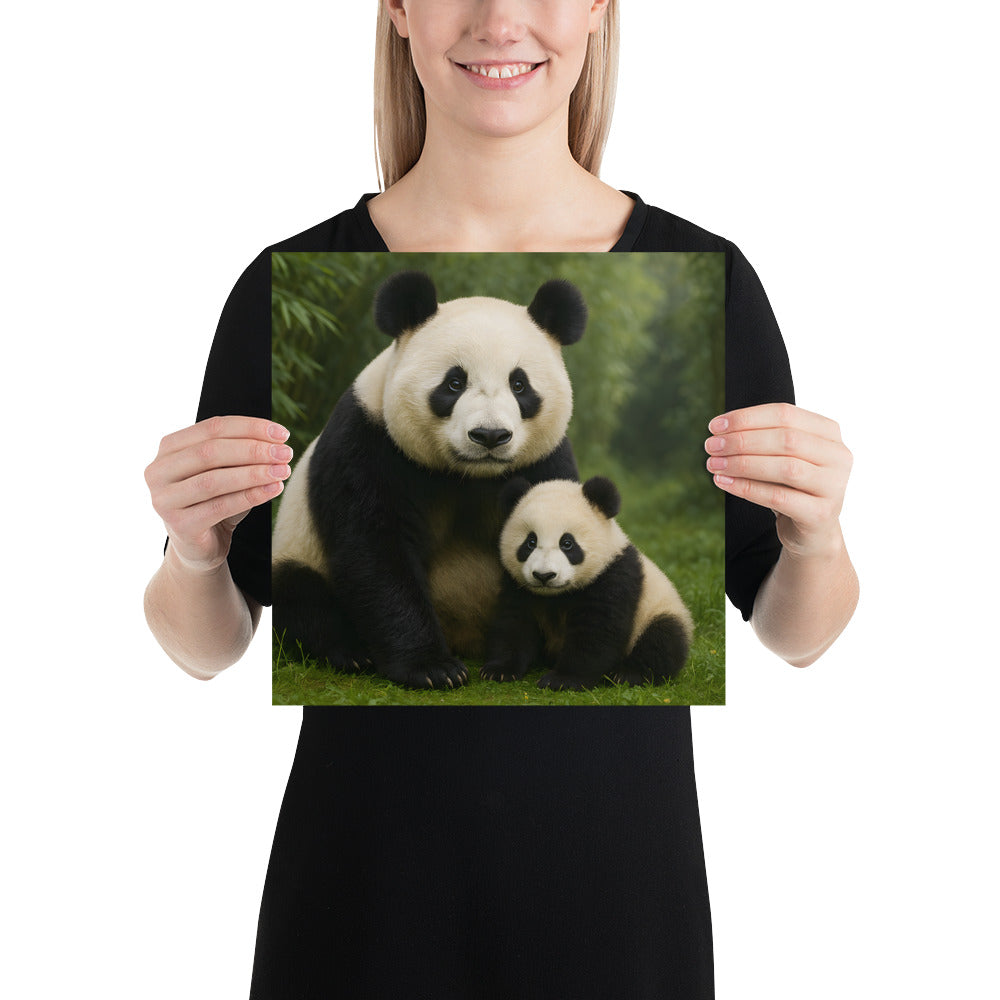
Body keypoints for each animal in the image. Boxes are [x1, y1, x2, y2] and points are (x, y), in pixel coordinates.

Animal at [271, 270, 587, 689]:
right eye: (454, 383)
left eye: (520, 385)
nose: (489, 435)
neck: (468, 474)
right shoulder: (369, 442)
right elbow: (375, 552)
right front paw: (434, 669)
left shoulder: (545, 461)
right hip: (297, 548)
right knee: (300, 596)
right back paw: (349, 654)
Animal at [482, 476, 693, 690]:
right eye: (530, 542)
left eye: (567, 543)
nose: (544, 575)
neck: (556, 595)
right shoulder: (518, 585)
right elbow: (514, 622)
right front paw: (499, 670)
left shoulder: (613, 577)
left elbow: (596, 631)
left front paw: (562, 679)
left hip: (658, 611)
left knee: (662, 640)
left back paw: (628, 674)